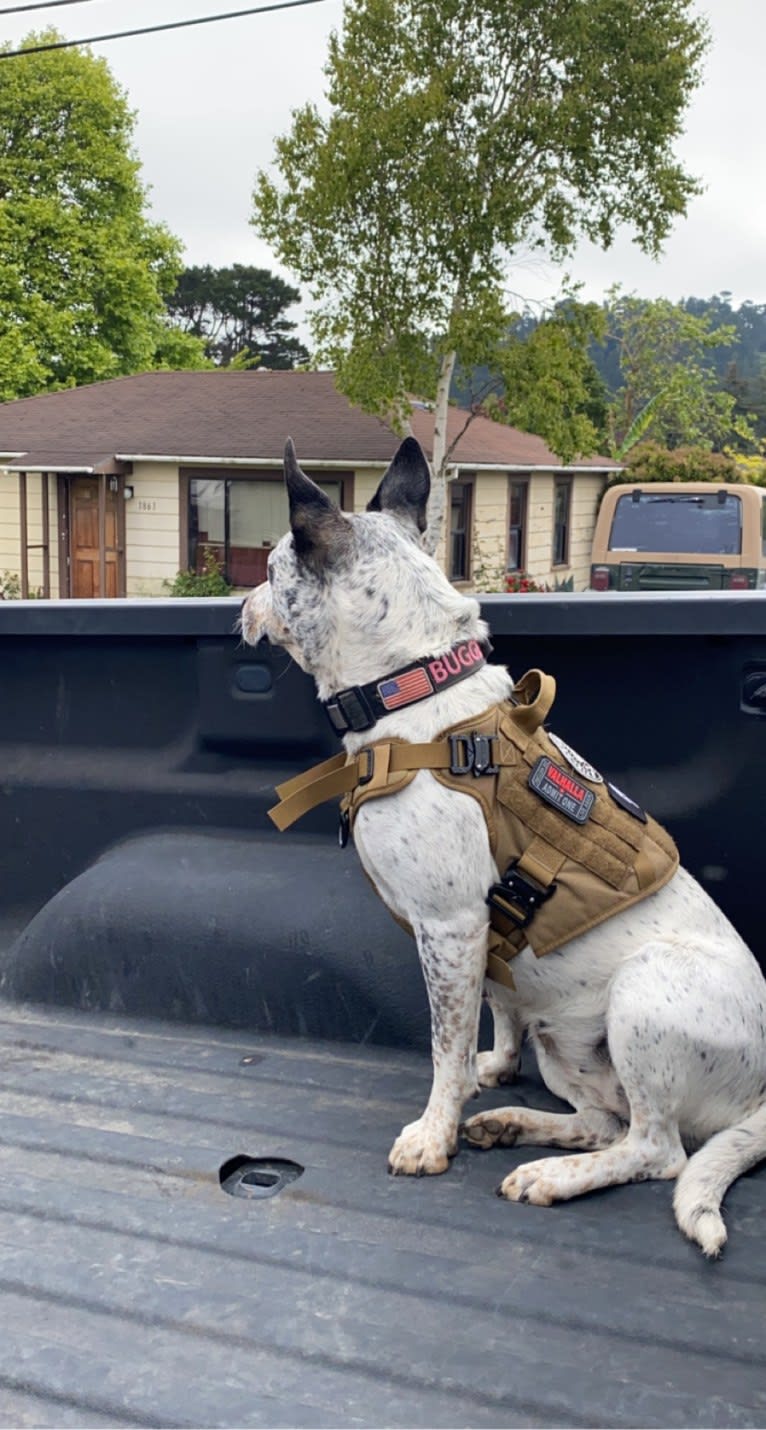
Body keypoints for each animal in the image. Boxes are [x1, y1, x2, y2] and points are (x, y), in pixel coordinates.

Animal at [242, 431, 766, 1252]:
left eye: (270, 570)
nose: (242, 605)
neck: (413, 690)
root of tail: (764, 1096)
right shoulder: (486, 945)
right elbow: (498, 1011)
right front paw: (489, 1076)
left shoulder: (451, 927)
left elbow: (445, 1046)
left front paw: (435, 1133)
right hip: (569, 1048)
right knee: (604, 1122)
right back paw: (518, 1128)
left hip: (643, 995)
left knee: (657, 1151)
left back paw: (553, 1175)